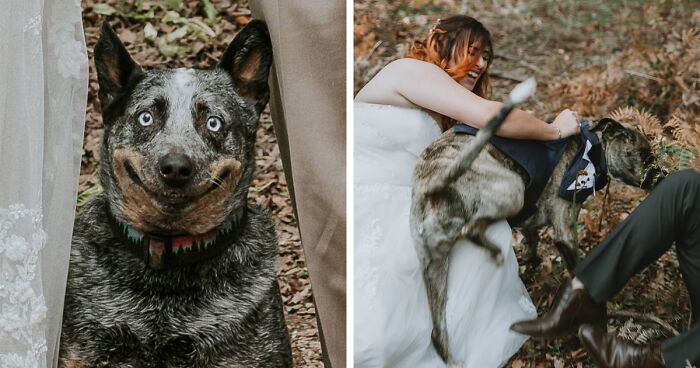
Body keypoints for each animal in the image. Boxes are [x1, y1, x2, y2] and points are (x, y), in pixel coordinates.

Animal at [410, 116, 656, 364]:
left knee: (437, 334)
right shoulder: (566, 233)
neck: (592, 148)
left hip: (435, 266)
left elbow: (532, 239)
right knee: (472, 227)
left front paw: (531, 259)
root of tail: (431, 182)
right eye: (644, 155)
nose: (661, 174)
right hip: (511, 189)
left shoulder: (529, 220)